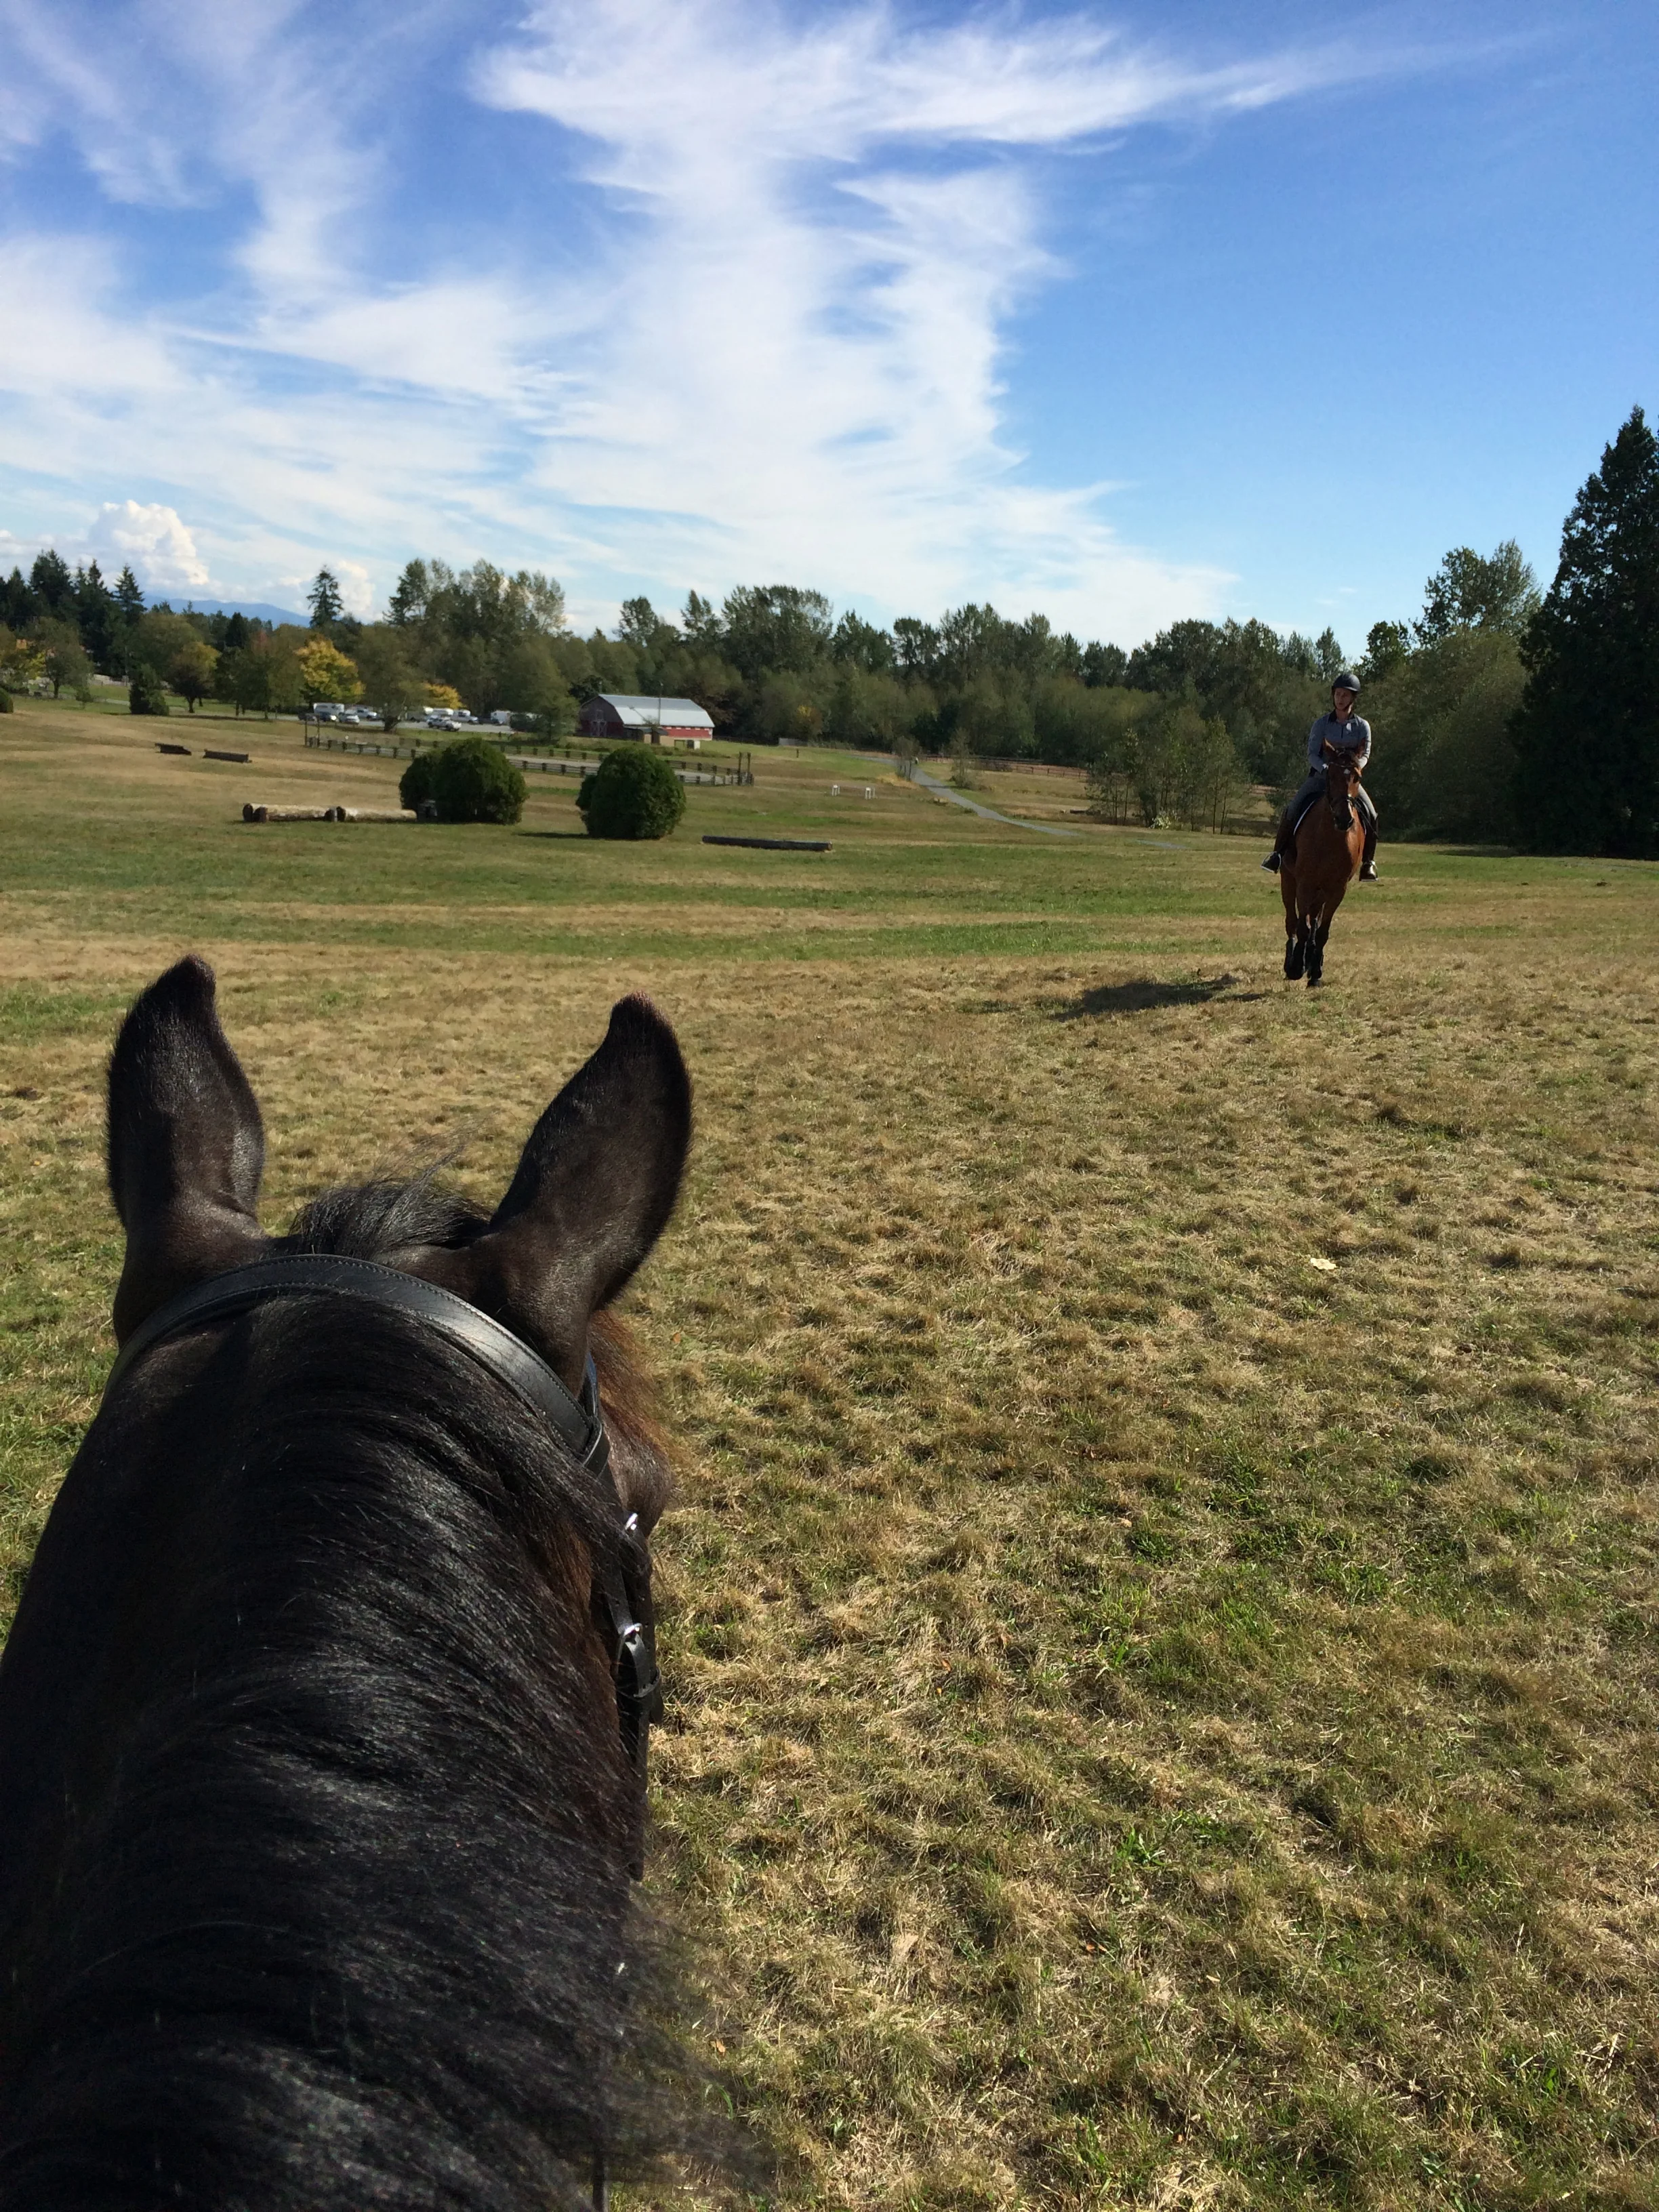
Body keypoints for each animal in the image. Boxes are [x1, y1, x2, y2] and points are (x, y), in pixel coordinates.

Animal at [1280, 743, 1365, 987]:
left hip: (1321, 892)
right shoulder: (1304, 884)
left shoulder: (1337, 890)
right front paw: (1296, 967)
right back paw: (1292, 962)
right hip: (1288, 881)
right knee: (1292, 921)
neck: (1330, 837)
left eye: (1357, 777)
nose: (1344, 819)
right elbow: (1301, 926)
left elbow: (1322, 931)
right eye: (1331, 775)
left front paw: (1316, 971)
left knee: (1314, 921)